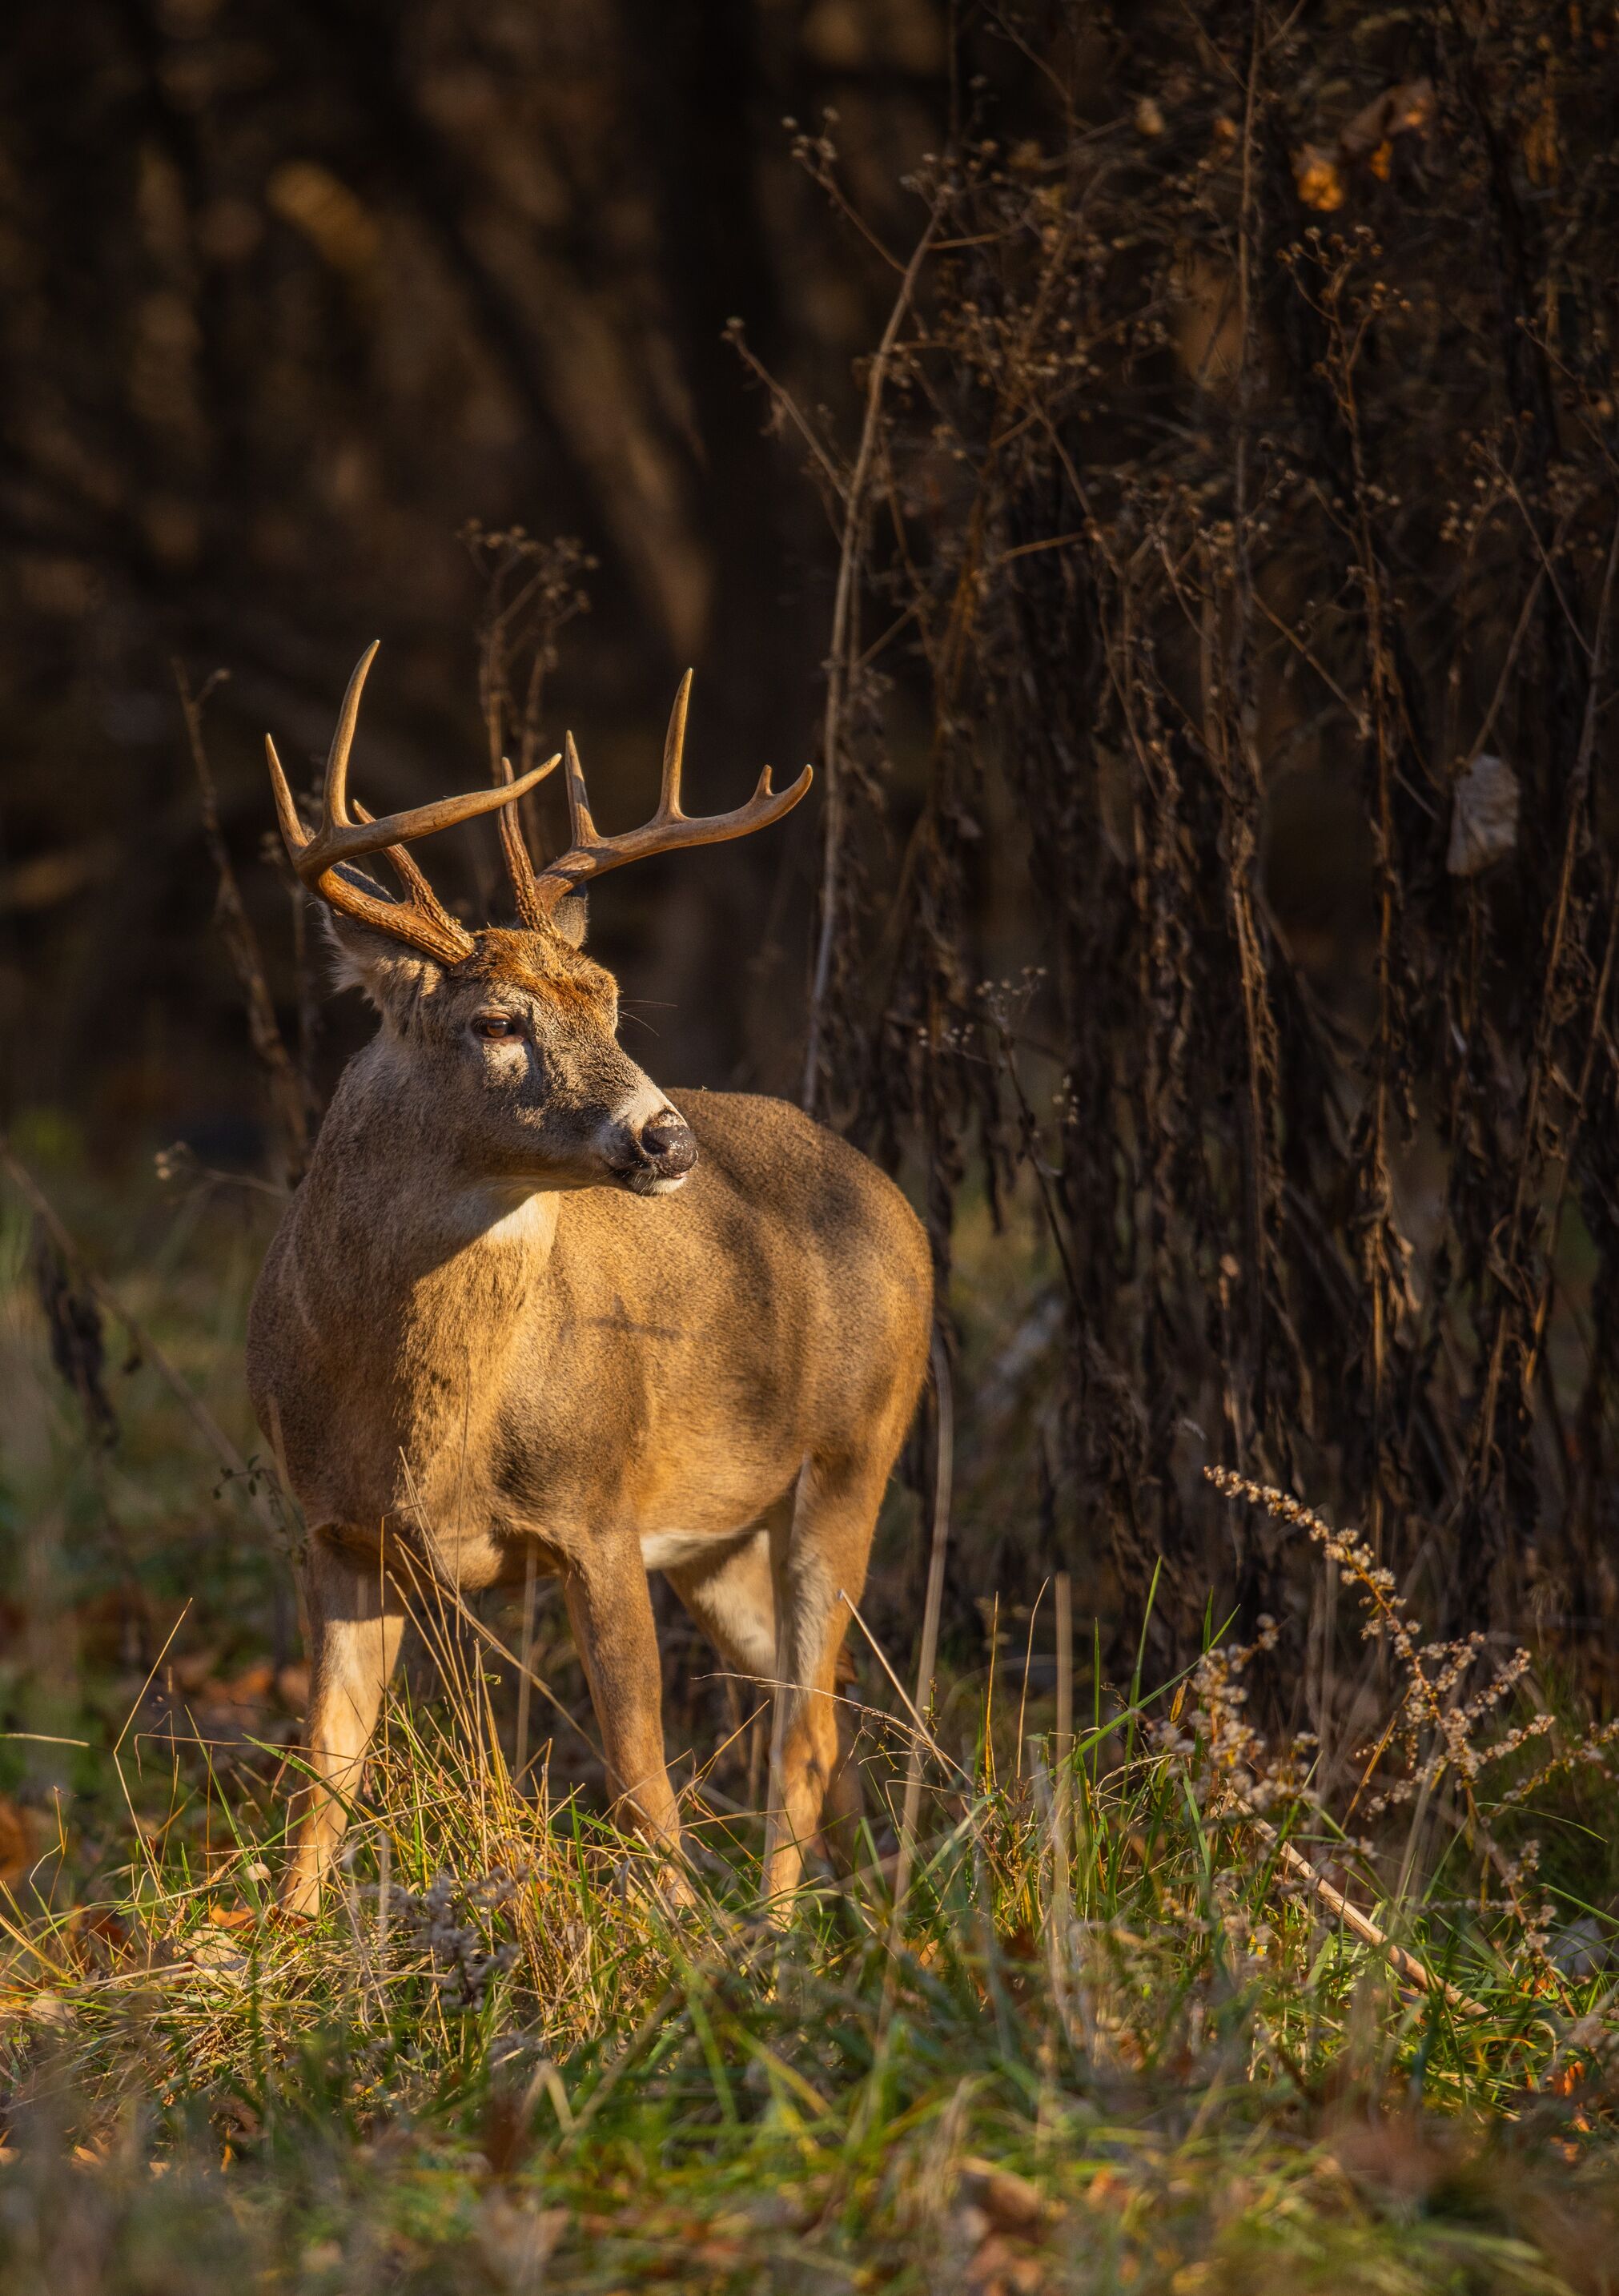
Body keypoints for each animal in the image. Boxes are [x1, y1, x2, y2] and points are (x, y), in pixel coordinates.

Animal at [246, 646, 933, 1918]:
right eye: (495, 1020)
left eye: (610, 995)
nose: (666, 1136)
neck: (429, 1421)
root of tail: (890, 1196)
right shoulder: (335, 1529)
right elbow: (324, 1777)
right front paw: (276, 1946)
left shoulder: (600, 1508)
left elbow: (640, 1774)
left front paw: (677, 1935)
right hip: (720, 1534)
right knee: (814, 1716)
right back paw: (861, 1907)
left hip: (854, 1450)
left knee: (805, 1733)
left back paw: (777, 1929)